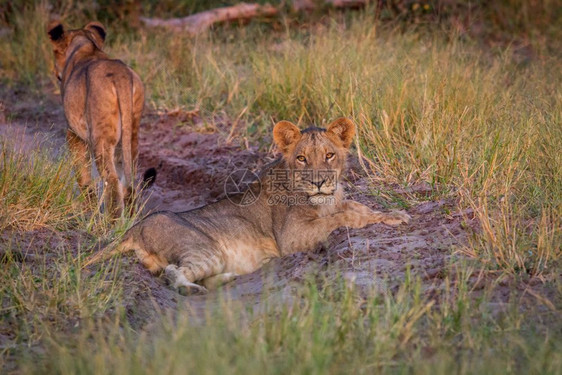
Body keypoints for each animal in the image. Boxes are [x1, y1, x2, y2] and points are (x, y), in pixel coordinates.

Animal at [46, 21, 144, 217]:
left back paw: (111, 222)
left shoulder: (73, 133)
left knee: (112, 181)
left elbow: (82, 172)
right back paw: (130, 218)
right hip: (131, 134)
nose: (54, 71)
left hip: (101, 137)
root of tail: (120, 75)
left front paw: (88, 209)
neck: (85, 45)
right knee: (128, 177)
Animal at [85, 117, 410, 294]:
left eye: (330, 155)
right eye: (301, 158)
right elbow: (343, 218)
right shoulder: (291, 237)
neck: (325, 199)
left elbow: (356, 208)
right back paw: (192, 289)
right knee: (173, 273)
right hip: (203, 248)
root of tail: (134, 229)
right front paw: (389, 219)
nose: (318, 182)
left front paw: (395, 214)